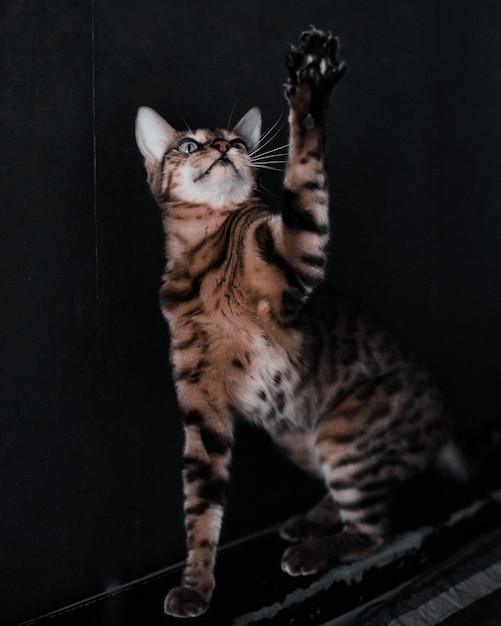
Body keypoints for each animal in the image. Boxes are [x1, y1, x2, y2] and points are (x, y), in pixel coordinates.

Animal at [134, 28, 464, 616]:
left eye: (239, 143)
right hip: (298, 437)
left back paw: (313, 550)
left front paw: (311, 88)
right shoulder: (202, 407)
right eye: (190, 145)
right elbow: (200, 508)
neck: (205, 259)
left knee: (374, 529)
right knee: (363, 505)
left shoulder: (296, 255)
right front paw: (197, 586)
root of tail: (445, 421)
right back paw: (309, 522)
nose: (227, 148)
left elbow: (305, 174)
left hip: (342, 433)